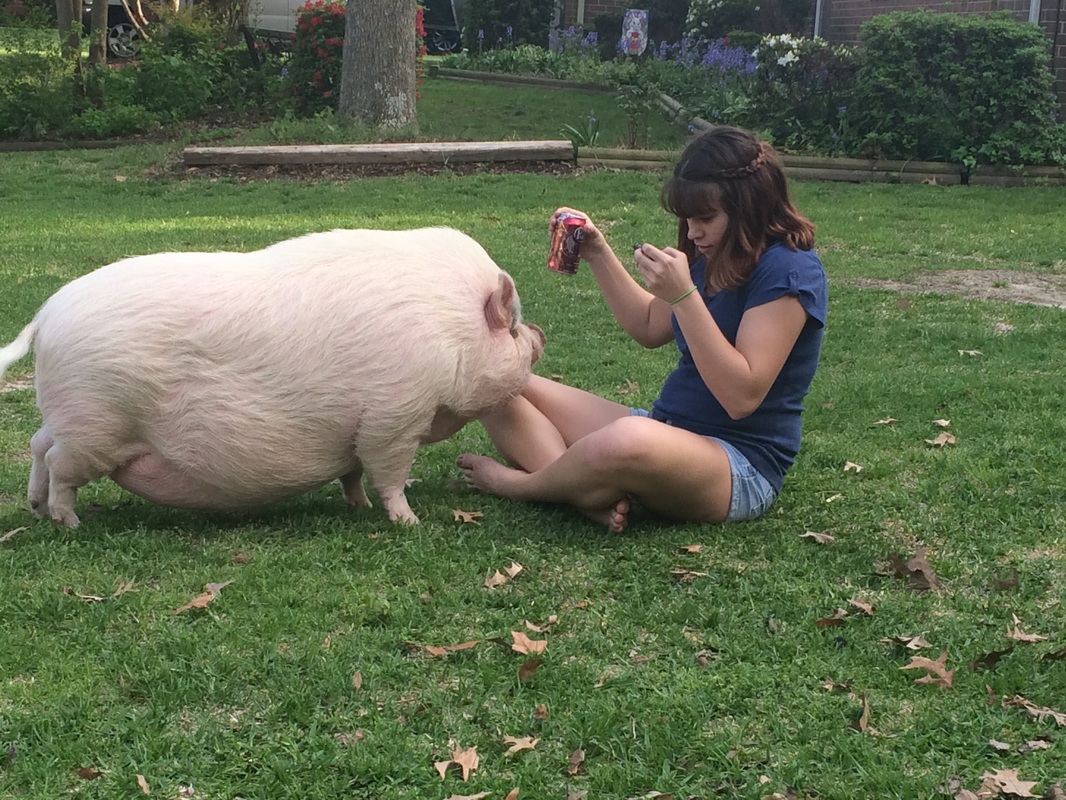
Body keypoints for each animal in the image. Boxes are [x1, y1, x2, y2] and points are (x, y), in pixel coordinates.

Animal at [0, 226, 545, 529]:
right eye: (513, 327)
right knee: (58, 462)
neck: (450, 332)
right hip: (94, 427)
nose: (540, 333)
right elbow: (388, 473)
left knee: (37, 443)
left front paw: (358, 507)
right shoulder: (394, 417)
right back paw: (69, 522)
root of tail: (45, 316)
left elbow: (352, 471)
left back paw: (36, 509)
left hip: (68, 417)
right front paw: (408, 522)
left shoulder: (356, 431)